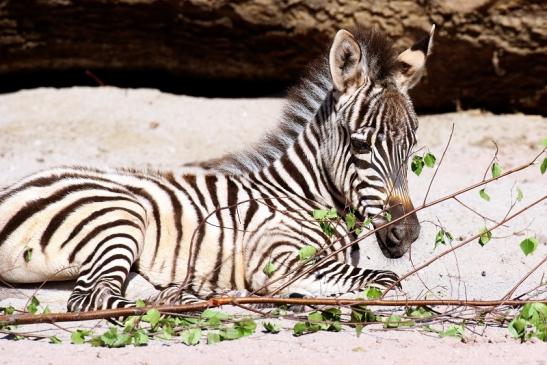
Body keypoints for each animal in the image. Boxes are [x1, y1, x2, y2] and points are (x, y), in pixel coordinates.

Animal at [1, 24, 436, 310]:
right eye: (361, 144)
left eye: (411, 149)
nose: (407, 234)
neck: (300, 197)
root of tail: (13, 190)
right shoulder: (276, 255)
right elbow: (385, 280)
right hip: (119, 216)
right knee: (93, 298)